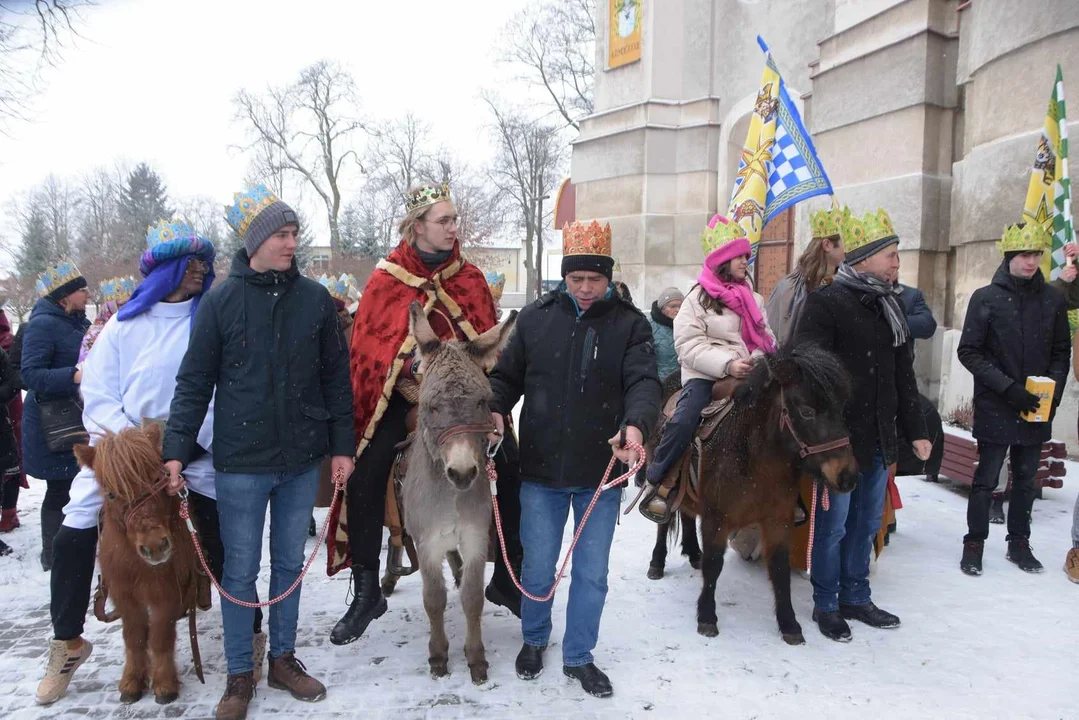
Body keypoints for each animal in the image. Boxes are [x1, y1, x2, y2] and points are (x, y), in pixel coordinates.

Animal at [74, 425, 198, 708]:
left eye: (156, 481)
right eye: (110, 493)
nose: (155, 546)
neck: (141, 567)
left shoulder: (167, 593)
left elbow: (160, 637)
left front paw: (164, 684)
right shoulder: (125, 596)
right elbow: (135, 637)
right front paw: (132, 682)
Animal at [660, 345, 854, 643]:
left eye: (841, 408)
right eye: (807, 411)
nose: (847, 476)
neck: (753, 456)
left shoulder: (778, 520)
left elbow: (780, 568)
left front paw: (789, 624)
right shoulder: (716, 519)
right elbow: (714, 565)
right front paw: (707, 617)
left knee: (687, 512)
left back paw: (693, 554)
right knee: (664, 520)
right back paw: (656, 563)